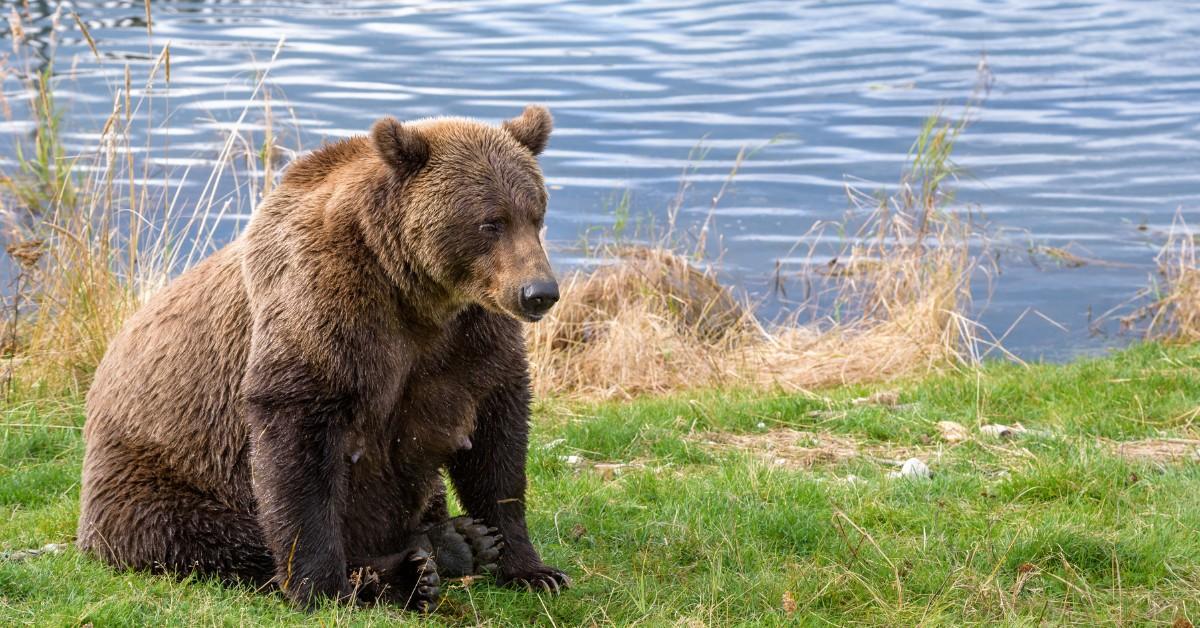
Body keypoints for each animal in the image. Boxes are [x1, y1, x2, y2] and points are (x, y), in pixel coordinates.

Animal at [76, 105, 571, 612]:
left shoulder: (471, 340)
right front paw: (324, 587)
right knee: (218, 537)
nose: (539, 292)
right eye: (490, 222)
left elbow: (497, 444)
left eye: (536, 214)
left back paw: (457, 540)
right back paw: (410, 571)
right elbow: (299, 452)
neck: (416, 293)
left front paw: (531, 567)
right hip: (160, 477)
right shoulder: (325, 312)